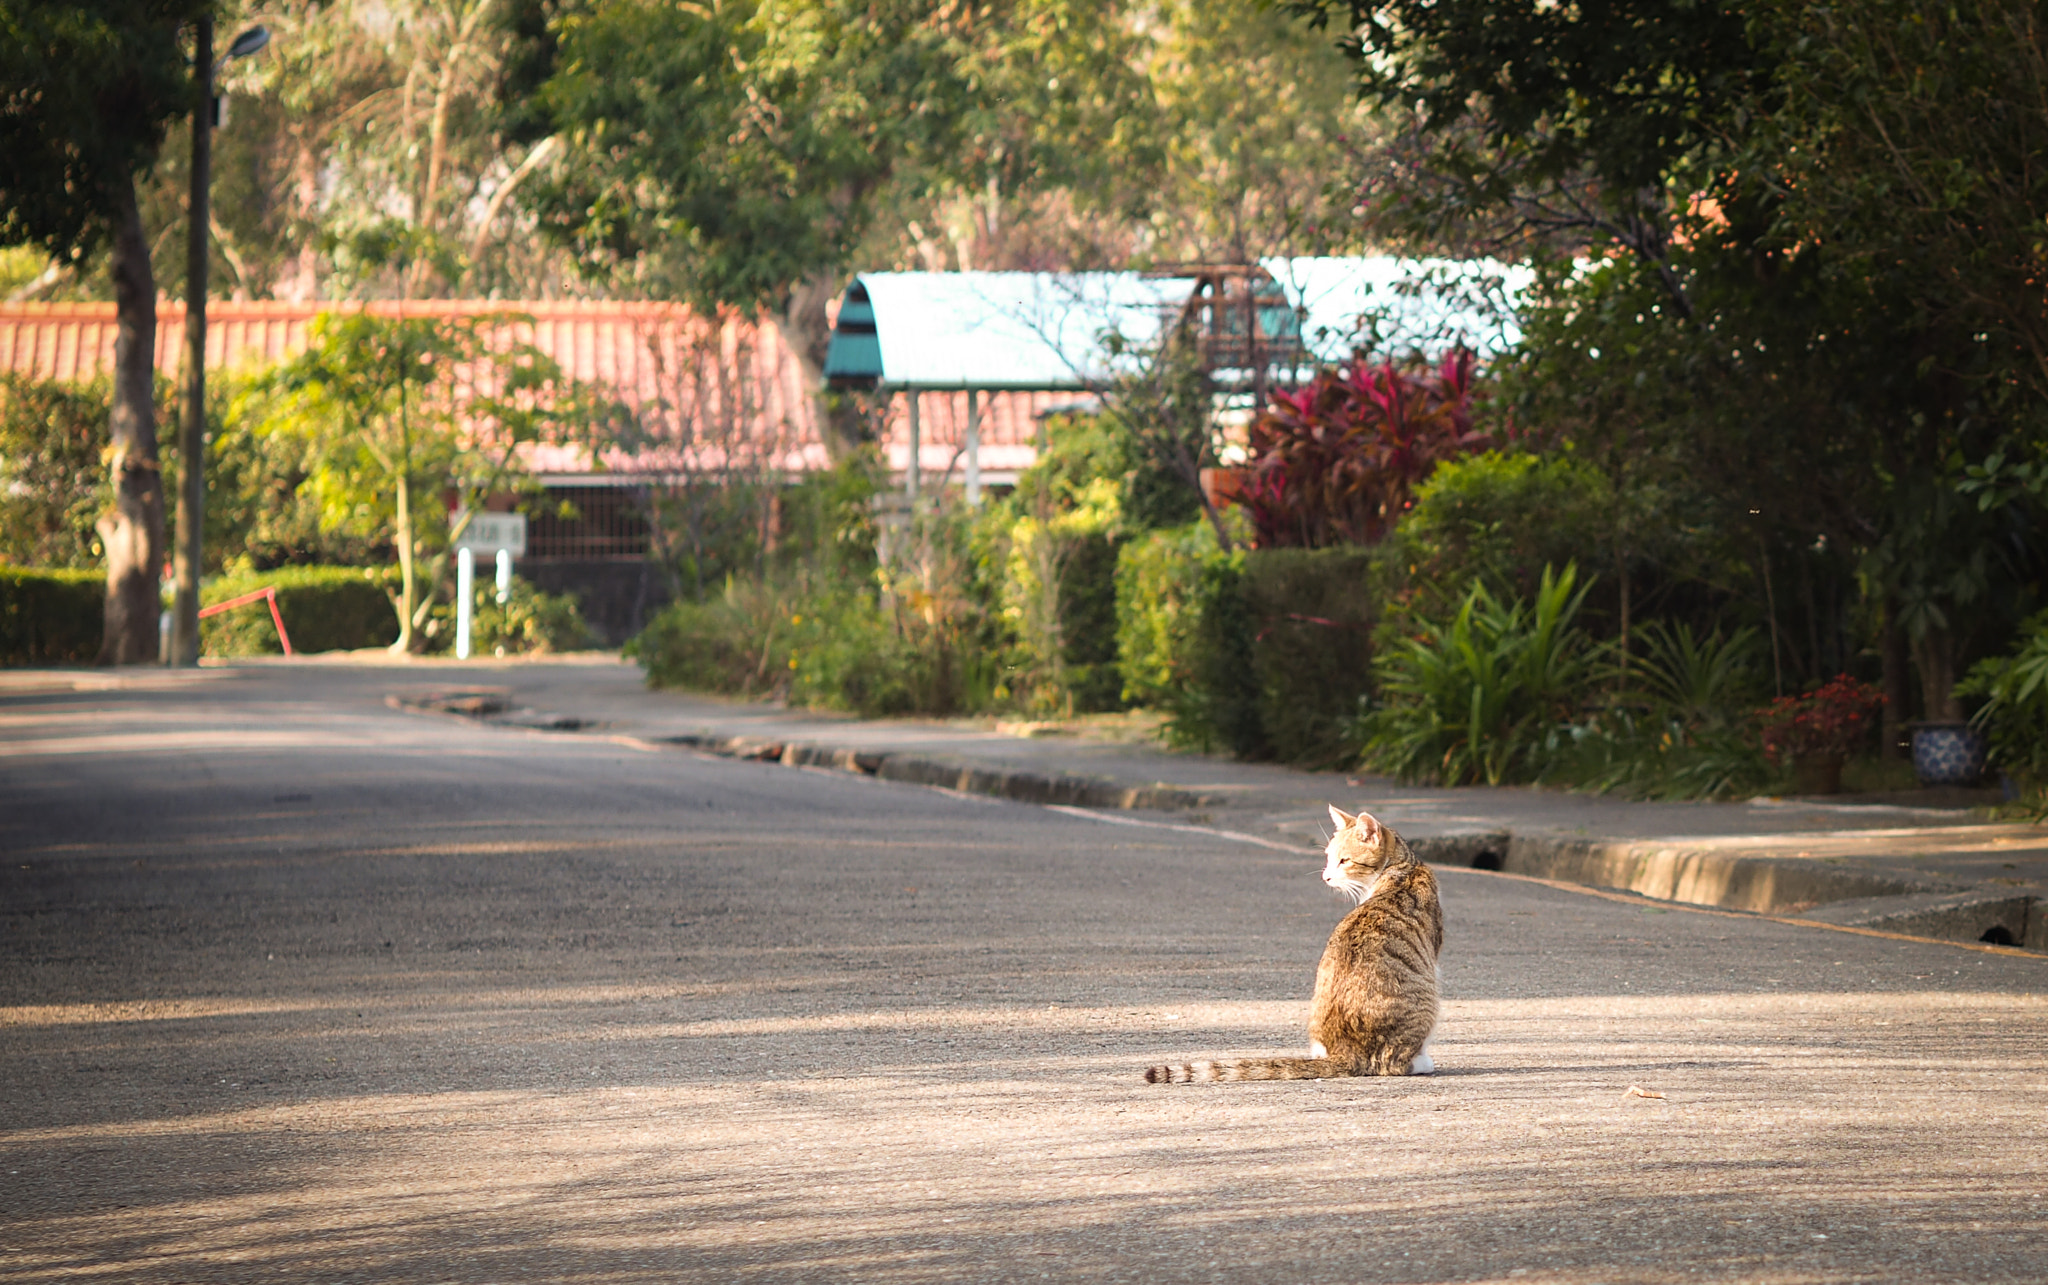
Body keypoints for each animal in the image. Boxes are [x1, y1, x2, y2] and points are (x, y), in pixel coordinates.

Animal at [1146, 807, 1449, 1082]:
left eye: (1344, 860)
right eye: (1328, 858)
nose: (1326, 876)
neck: (1402, 867)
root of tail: (1345, 1053)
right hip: (1428, 999)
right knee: (1393, 1063)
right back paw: (1421, 1062)